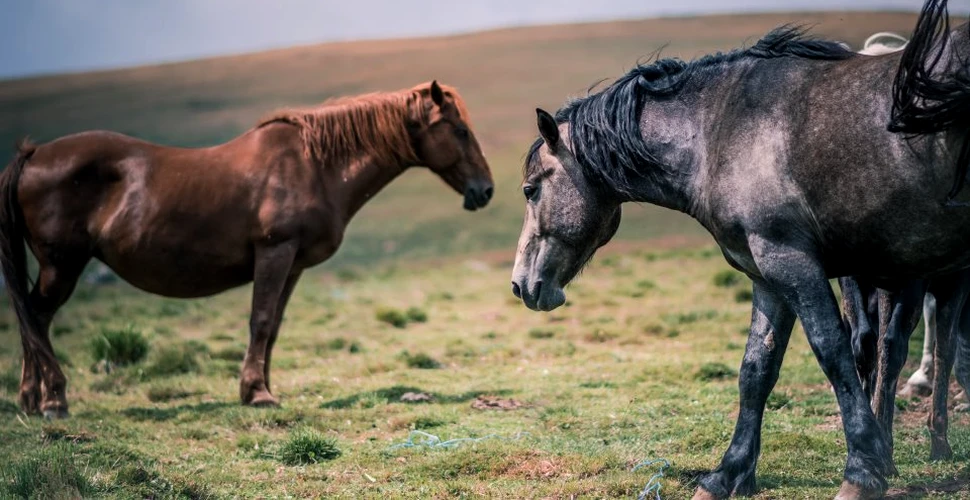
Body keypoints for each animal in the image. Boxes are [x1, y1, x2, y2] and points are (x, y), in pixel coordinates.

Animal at [0, 80, 492, 420]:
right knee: (37, 319)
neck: (314, 165)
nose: (484, 190)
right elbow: (260, 320)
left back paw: (30, 400)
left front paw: (260, 387)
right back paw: (54, 400)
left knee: (32, 318)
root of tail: (35, 153)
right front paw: (257, 394)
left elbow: (272, 326)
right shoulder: (275, 253)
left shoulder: (293, 265)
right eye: (460, 130)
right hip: (62, 266)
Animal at [510, 1, 964, 498]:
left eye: (531, 190)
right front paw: (728, 473)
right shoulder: (768, 274)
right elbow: (755, 371)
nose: (520, 285)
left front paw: (863, 470)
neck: (719, 131)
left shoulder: (791, 262)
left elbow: (833, 352)